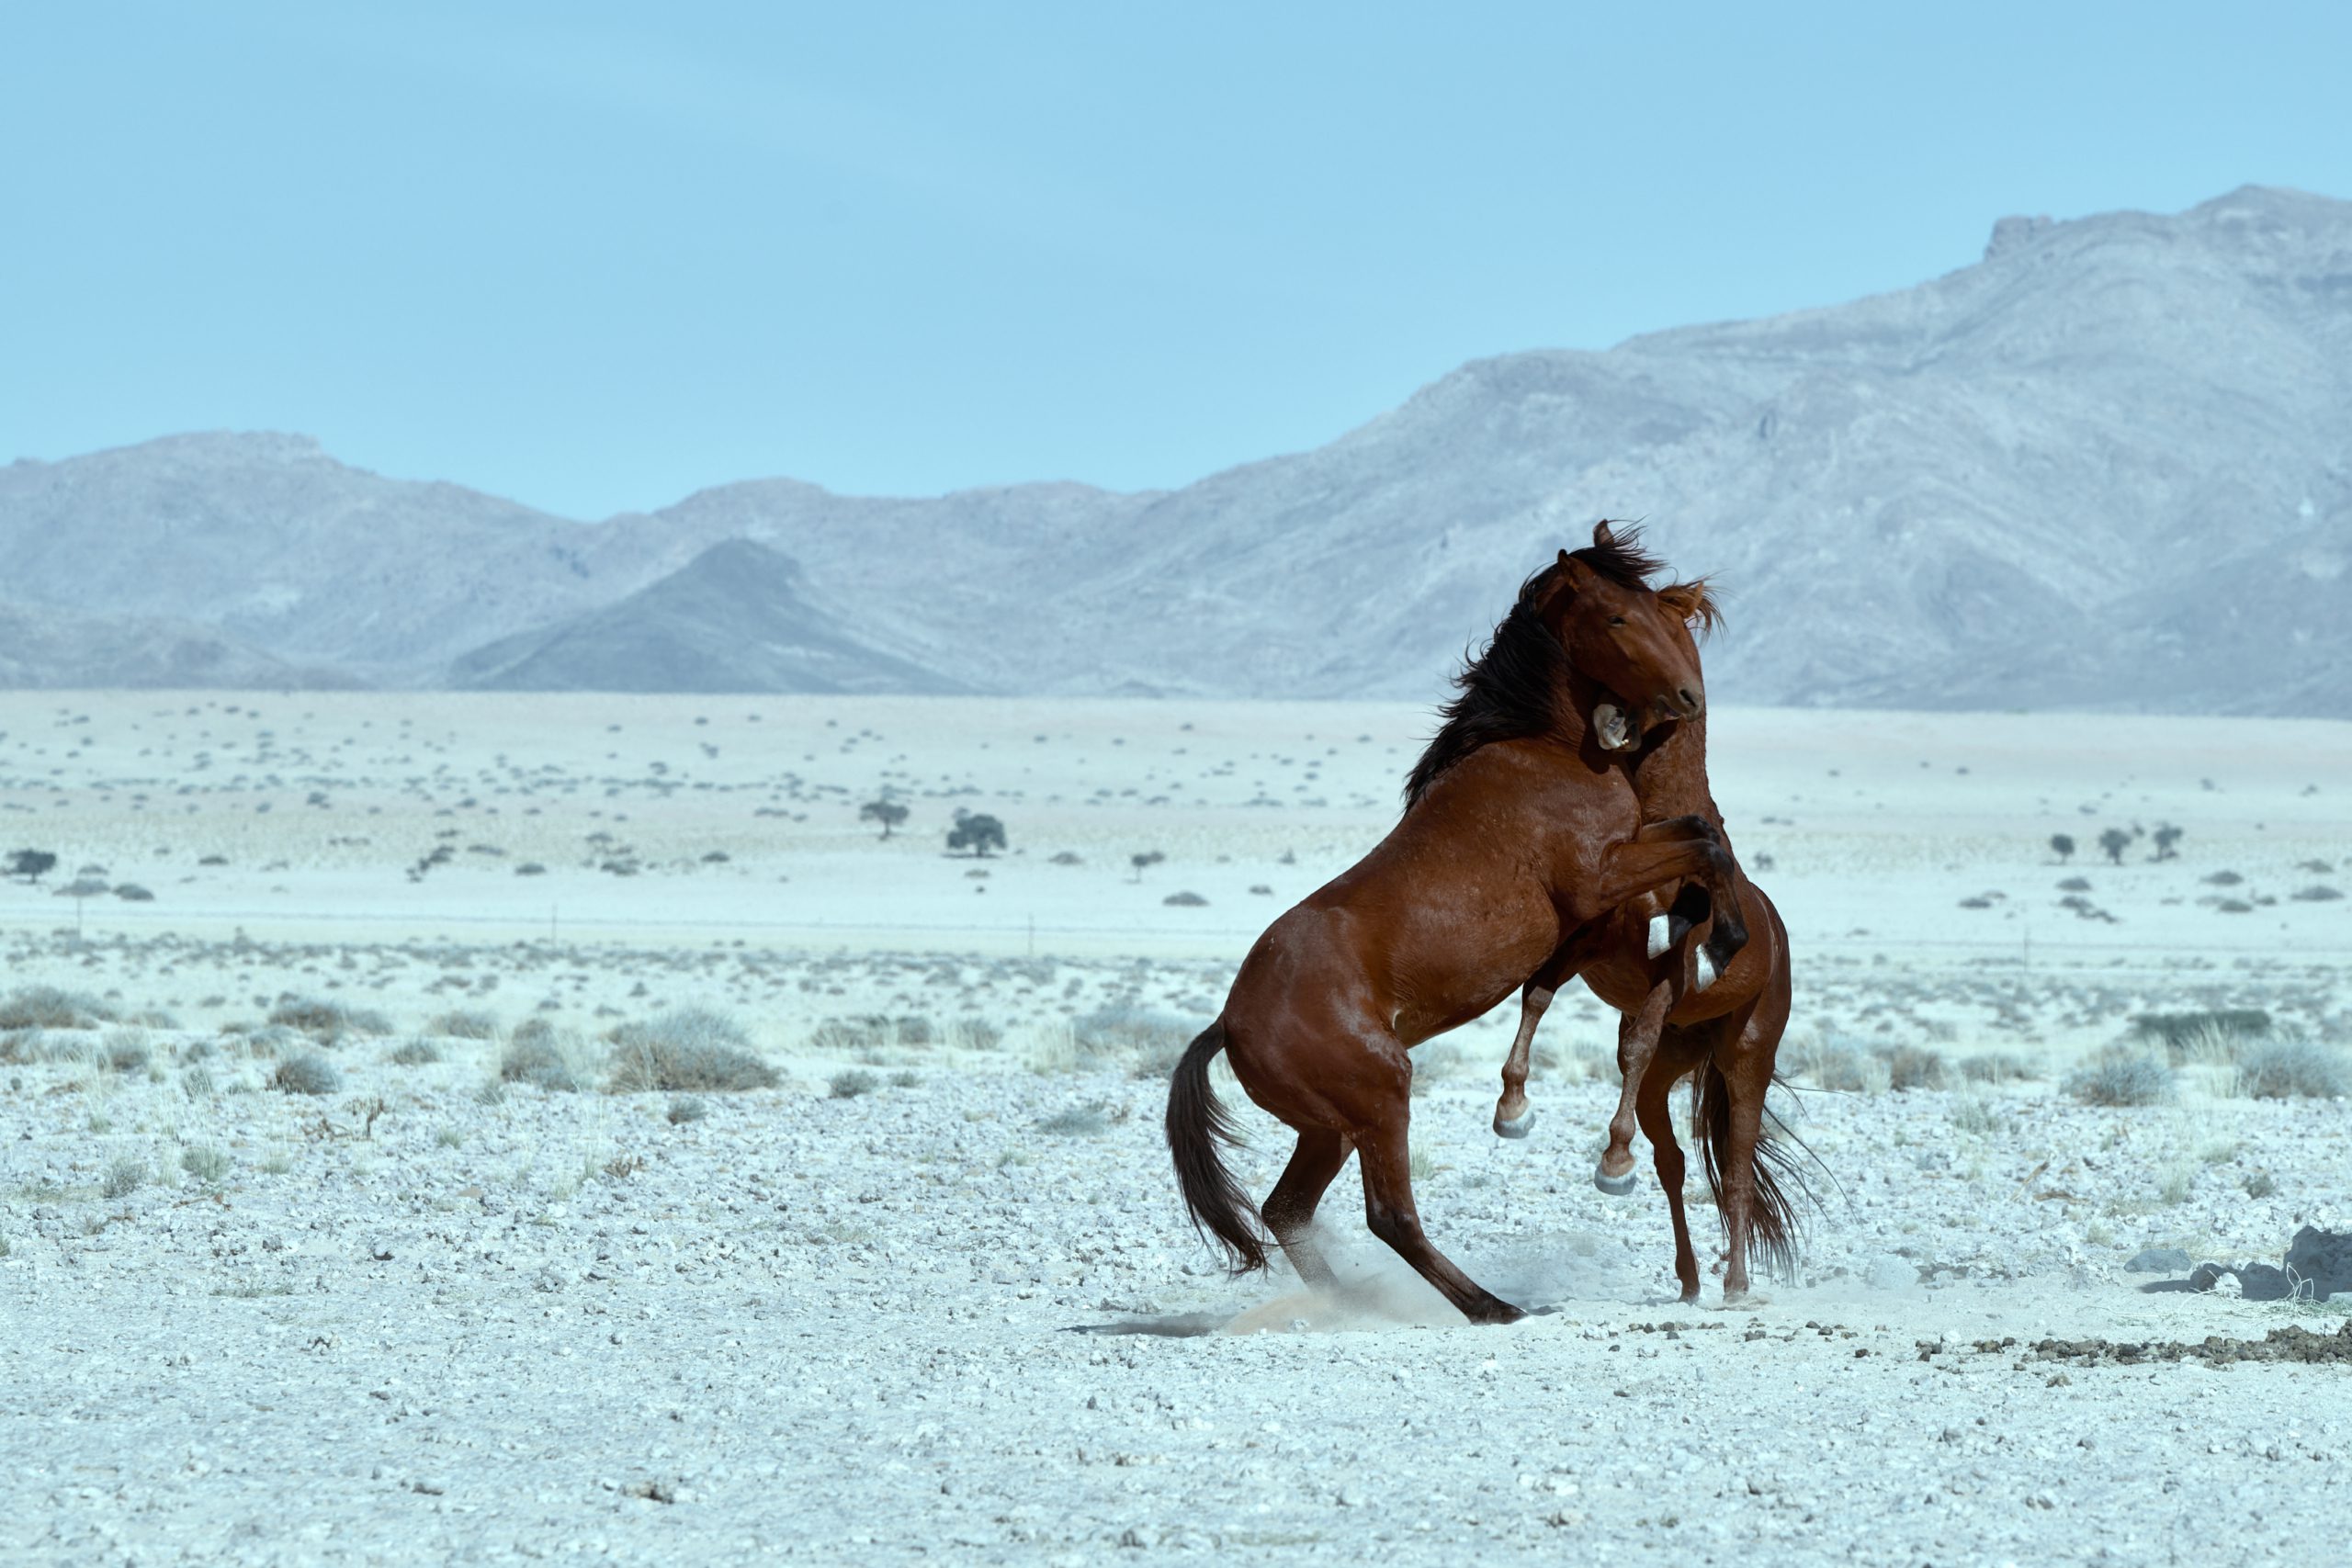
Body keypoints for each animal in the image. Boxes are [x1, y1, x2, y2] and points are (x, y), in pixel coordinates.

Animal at [1161, 536, 1740, 1325]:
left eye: (1660, 609)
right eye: (1618, 617)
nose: (1688, 696)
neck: (1544, 748)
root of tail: (1227, 1022)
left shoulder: (1600, 900)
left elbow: (1691, 848)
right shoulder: (1601, 876)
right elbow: (1703, 843)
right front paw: (1725, 935)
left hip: (1328, 1128)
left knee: (1287, 1210)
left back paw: (1353, 1303)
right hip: (1381, 1101)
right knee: (1389, 1216)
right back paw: (1491, 1306)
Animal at [1486, 649, 1796, 1297]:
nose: (1606, 725)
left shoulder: (1668, 974)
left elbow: (1634, 1042)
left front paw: (1607, 1162)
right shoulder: (1589, 946)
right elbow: (1537, 996)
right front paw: (1513, 1106)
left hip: (1746, 1055)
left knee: (1735, 1163)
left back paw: (1735, 1285)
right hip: (1665, 1077)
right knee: (1673, 1160)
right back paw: (1690, 1280)